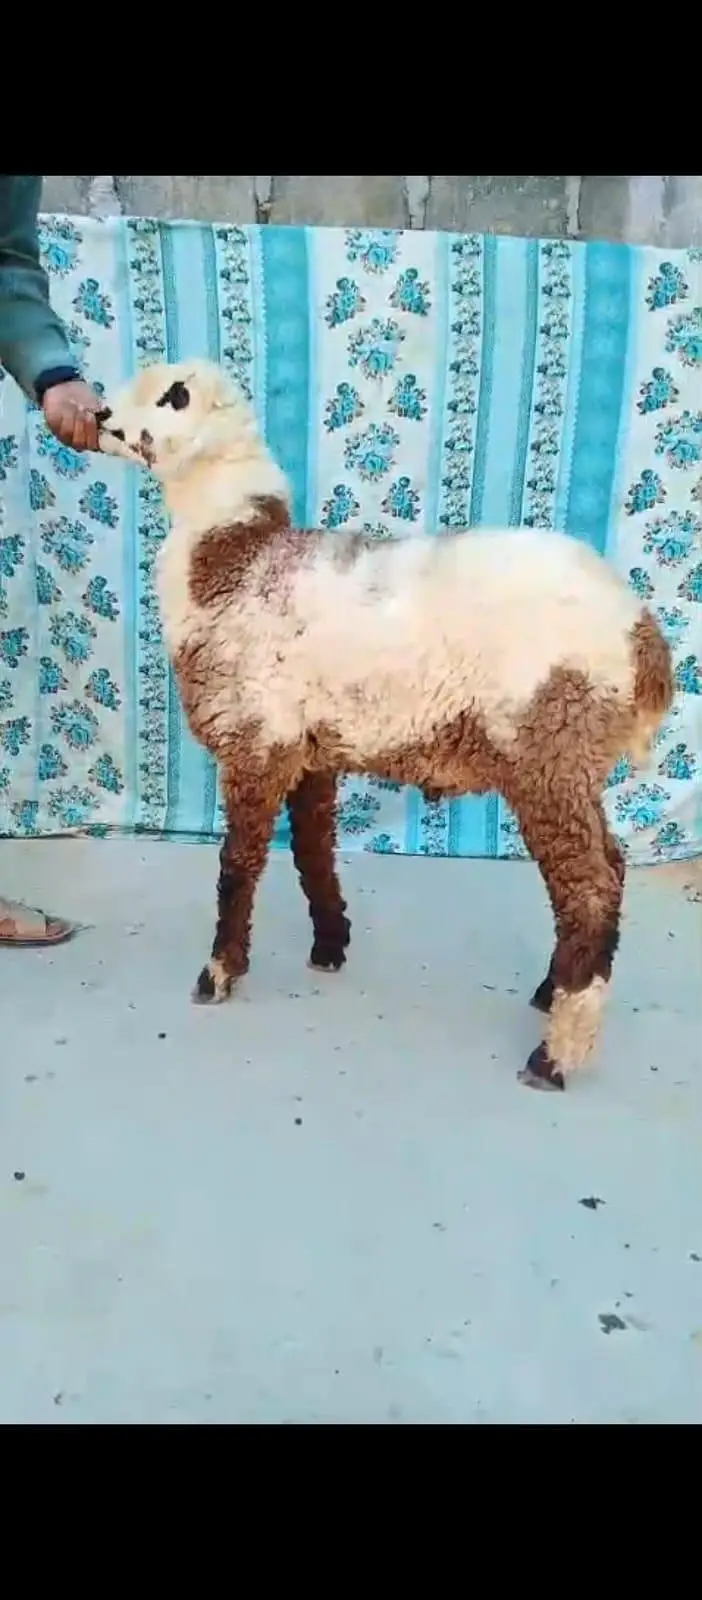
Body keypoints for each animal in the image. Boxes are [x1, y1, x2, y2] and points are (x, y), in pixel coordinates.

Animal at [98, 359, 674, 1092]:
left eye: (176, 396)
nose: (99, 415)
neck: (234, 559)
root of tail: (643, 640)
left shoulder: (257, 740)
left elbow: (237, 866)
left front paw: (219, 973)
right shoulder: (310, 749)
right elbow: (312, 852)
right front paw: (329, 945)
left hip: (551, 747)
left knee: (591, 889)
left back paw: (554, 1053)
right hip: (576, 762)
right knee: (613, 867)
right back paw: (554, 990)